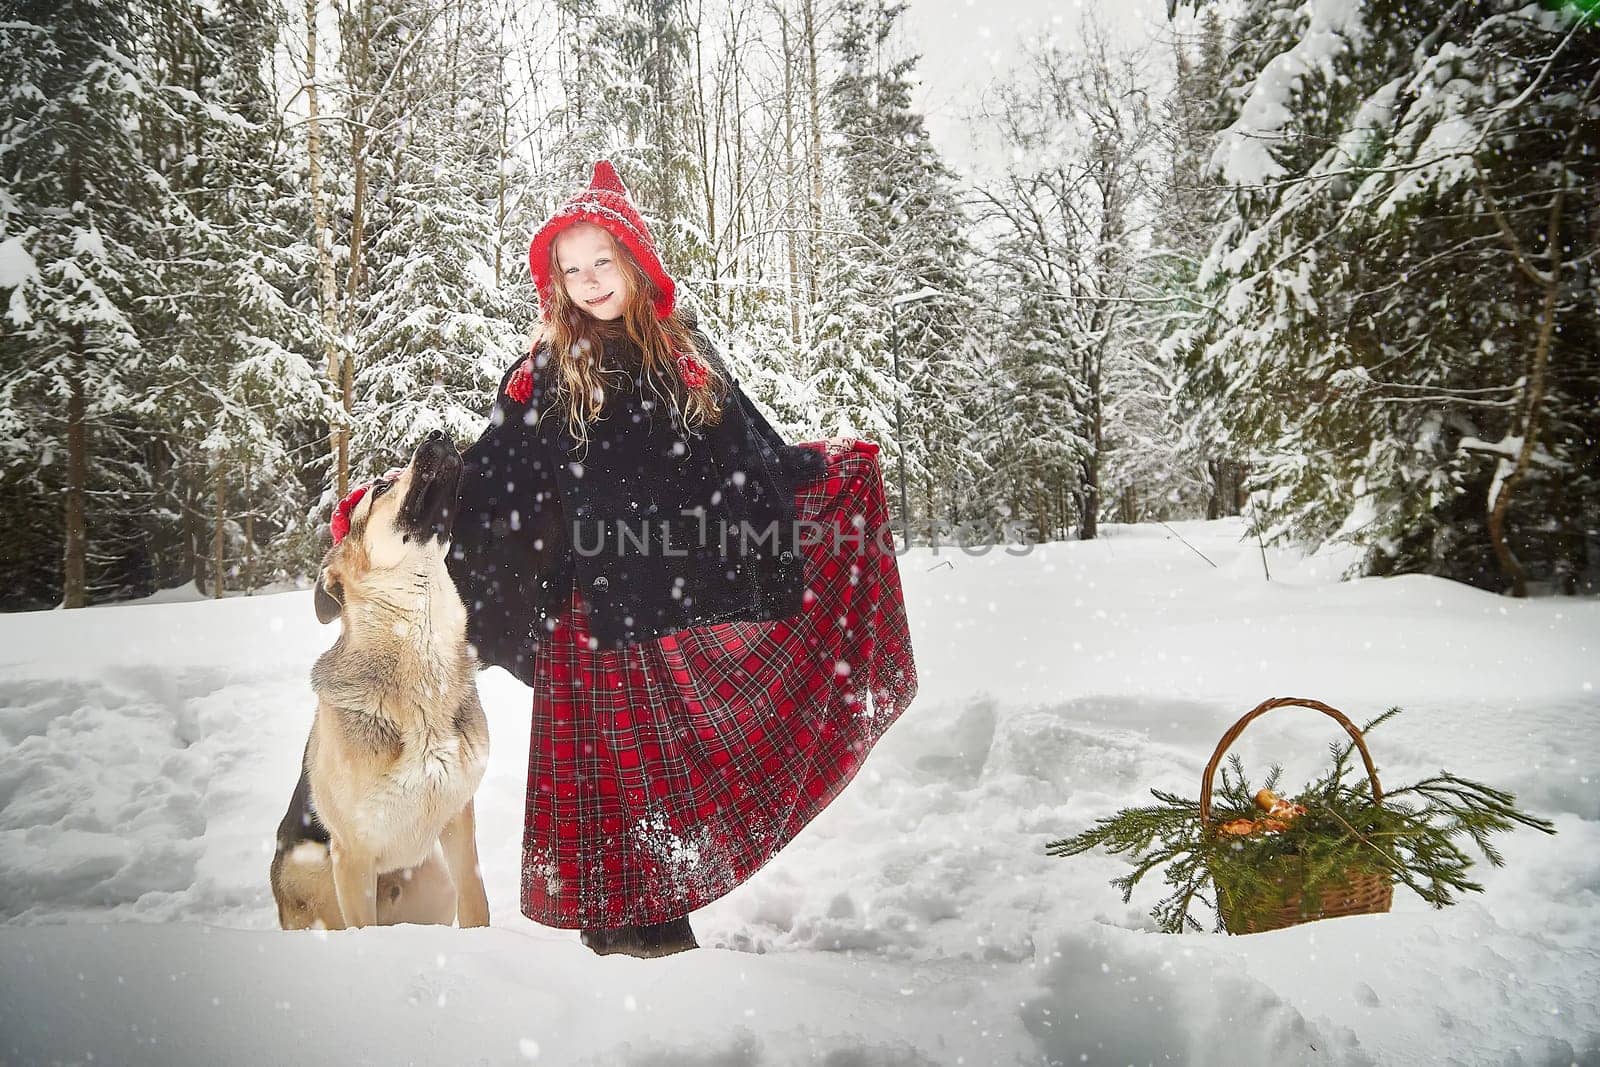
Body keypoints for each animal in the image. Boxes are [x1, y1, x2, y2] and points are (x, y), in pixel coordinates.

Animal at [272, 428, 489, 927]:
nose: (437, 433)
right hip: (313, 875)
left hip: (435, 878)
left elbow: (477, 903)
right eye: (382, 488)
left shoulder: (459, 820)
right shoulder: (352, 855)